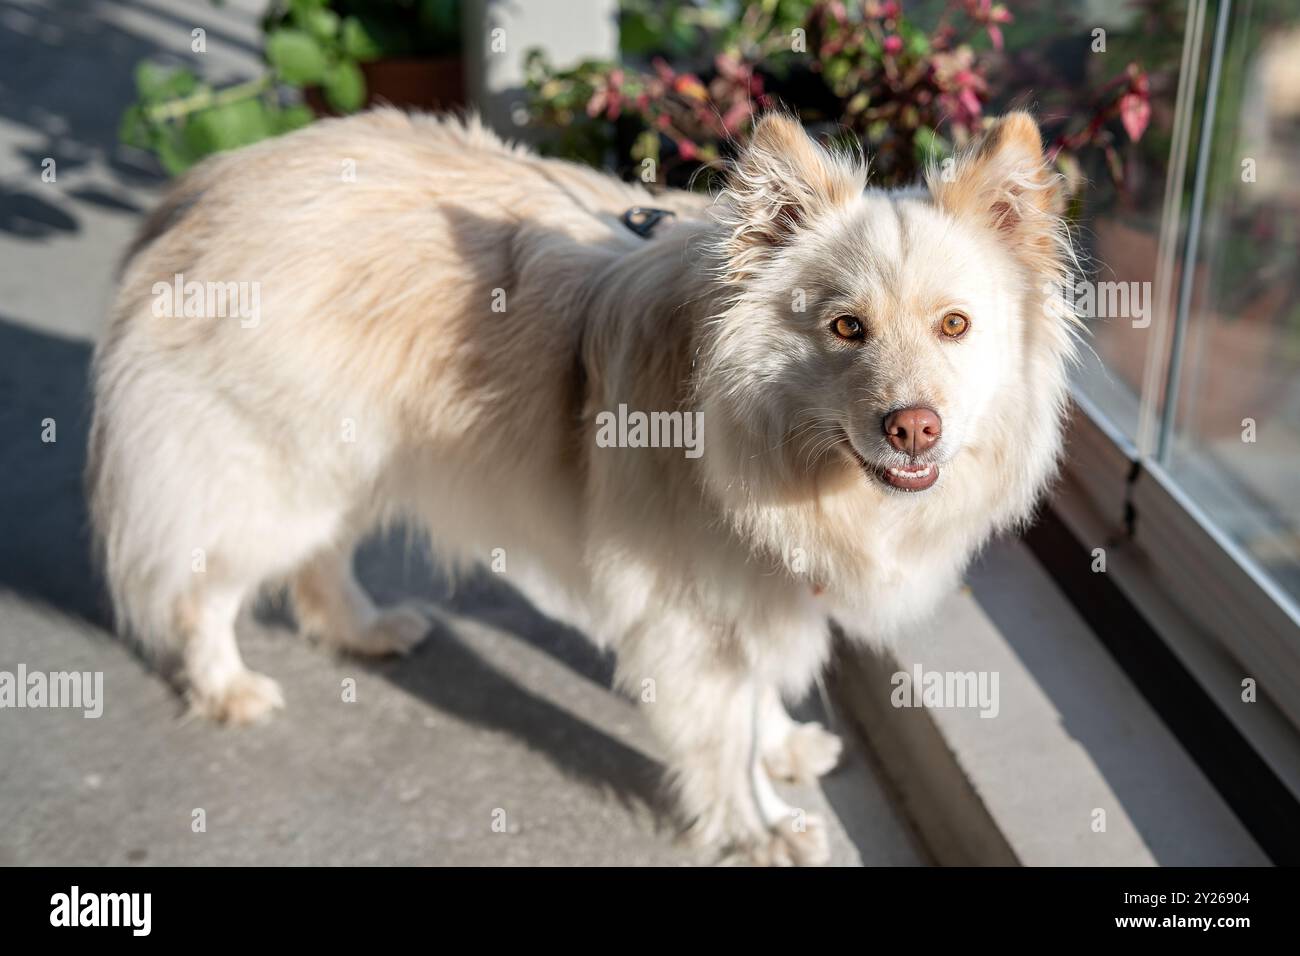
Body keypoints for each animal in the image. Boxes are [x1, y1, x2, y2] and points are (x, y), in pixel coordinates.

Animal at [89, 106, 1076, 868]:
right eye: (846, 328)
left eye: (955, 326)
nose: (914, 425)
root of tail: (214, 182)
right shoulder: (690, 615)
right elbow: (723, 740)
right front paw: (760, 830)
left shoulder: (752, 593)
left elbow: (756, 698)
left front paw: (783, 748)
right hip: (277, 473)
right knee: (203, 591)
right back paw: (228, 687)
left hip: (349, 461)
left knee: (318, 562)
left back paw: (364, 630)